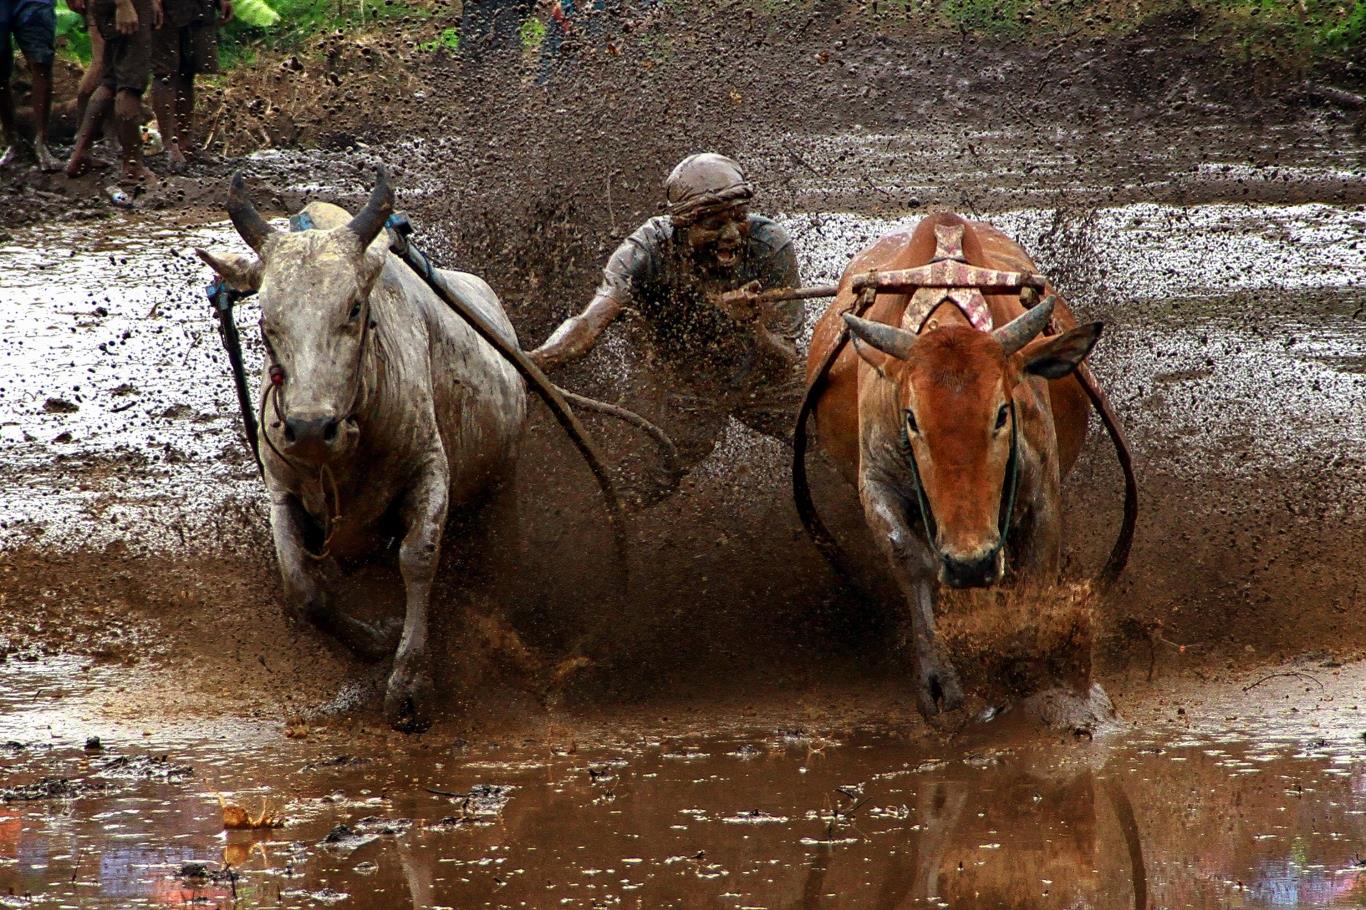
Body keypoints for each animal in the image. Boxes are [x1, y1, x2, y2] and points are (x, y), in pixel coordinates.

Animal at [803, 213, 1103, 715]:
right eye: (911, 418)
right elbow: (910, 558)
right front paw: (938, 680)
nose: (970, 564)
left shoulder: (1043, 492)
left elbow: (1032, 581)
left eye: (1001, 413)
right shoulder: (876, 481)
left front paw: (1035, 679)